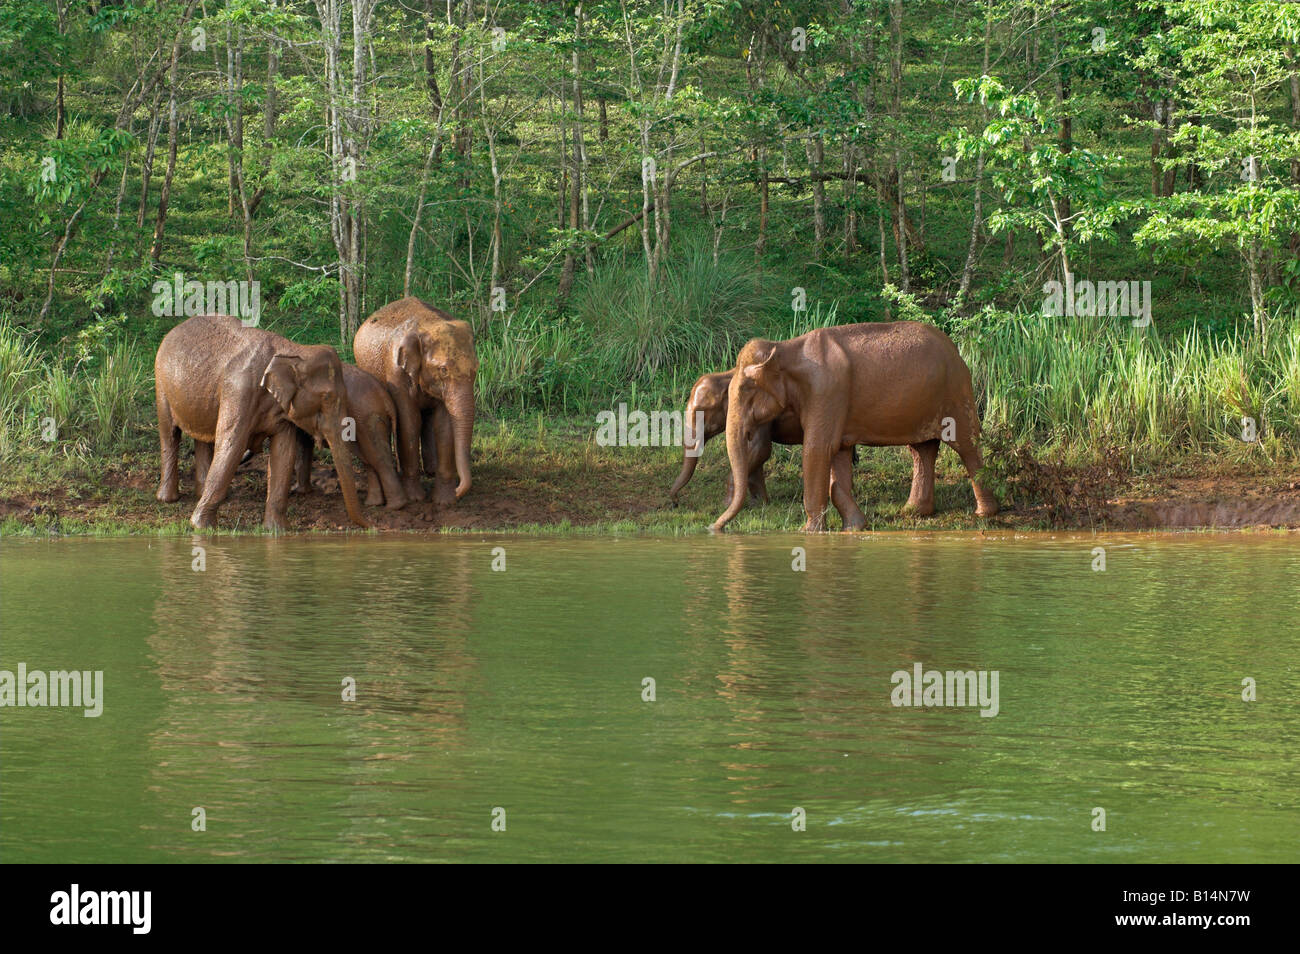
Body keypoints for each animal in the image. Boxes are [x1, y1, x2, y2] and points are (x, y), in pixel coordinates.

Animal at [154, 314, 369, 531]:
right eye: (327, 398)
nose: (371, 525)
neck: (292, 349)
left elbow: (284, 452)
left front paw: (277, 530)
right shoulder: (239, 390)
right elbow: (232, 445)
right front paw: (201, 526)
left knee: (203, 439)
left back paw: (201, 493)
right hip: (161, 384)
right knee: (169, 434)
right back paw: (168, 499)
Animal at [354, 297, 477, 506]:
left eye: (476, 368)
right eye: (443, 369)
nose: (459, 489)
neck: (430, 323)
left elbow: (443, 425)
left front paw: (444, 501)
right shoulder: (396, 373)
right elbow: (409, 421)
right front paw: (415, 498)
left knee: (427, 419)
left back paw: (431, 471)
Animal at [669, 369, 863, 524]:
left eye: (701, 412)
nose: (675, 503)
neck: (726, 375)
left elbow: (760, 450)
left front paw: (726, 505)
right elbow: (755, 455)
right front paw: (760, 504)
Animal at [711, 321, 999, 533]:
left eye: (747, 390)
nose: (713, 528)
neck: (785, 348)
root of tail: (956, 350)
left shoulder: (826, 391)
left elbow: (817, 449)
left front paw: (808, 533)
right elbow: (838, 452)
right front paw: (855, 527)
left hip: (957, 392)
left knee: (967, 445)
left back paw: (985, 513)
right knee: (922, 450)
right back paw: (913, 512)